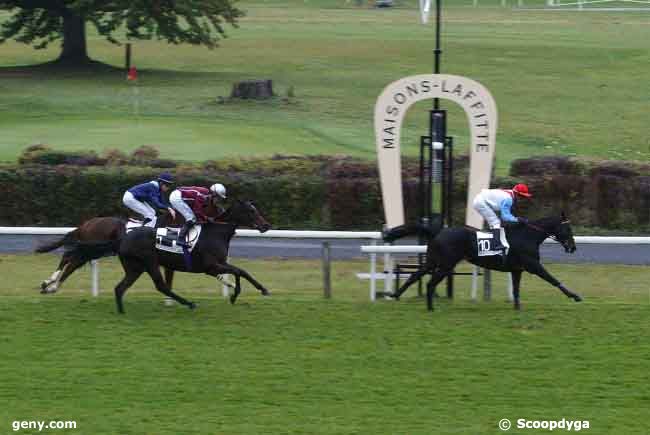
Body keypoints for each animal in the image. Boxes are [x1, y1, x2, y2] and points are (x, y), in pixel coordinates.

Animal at [384, 214, 584, 310]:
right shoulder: (533, 265)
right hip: (446, 265)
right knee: (430, 283)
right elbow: (553, 280)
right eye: (568, 228)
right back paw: (430, 307)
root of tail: (438, 231)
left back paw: (395, 294)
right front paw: (575, 296)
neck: (527, 235)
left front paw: (517, 307)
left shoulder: (517, 269)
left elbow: (516, 290)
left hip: (433, 261)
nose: (573, 247)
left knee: (415, 276)